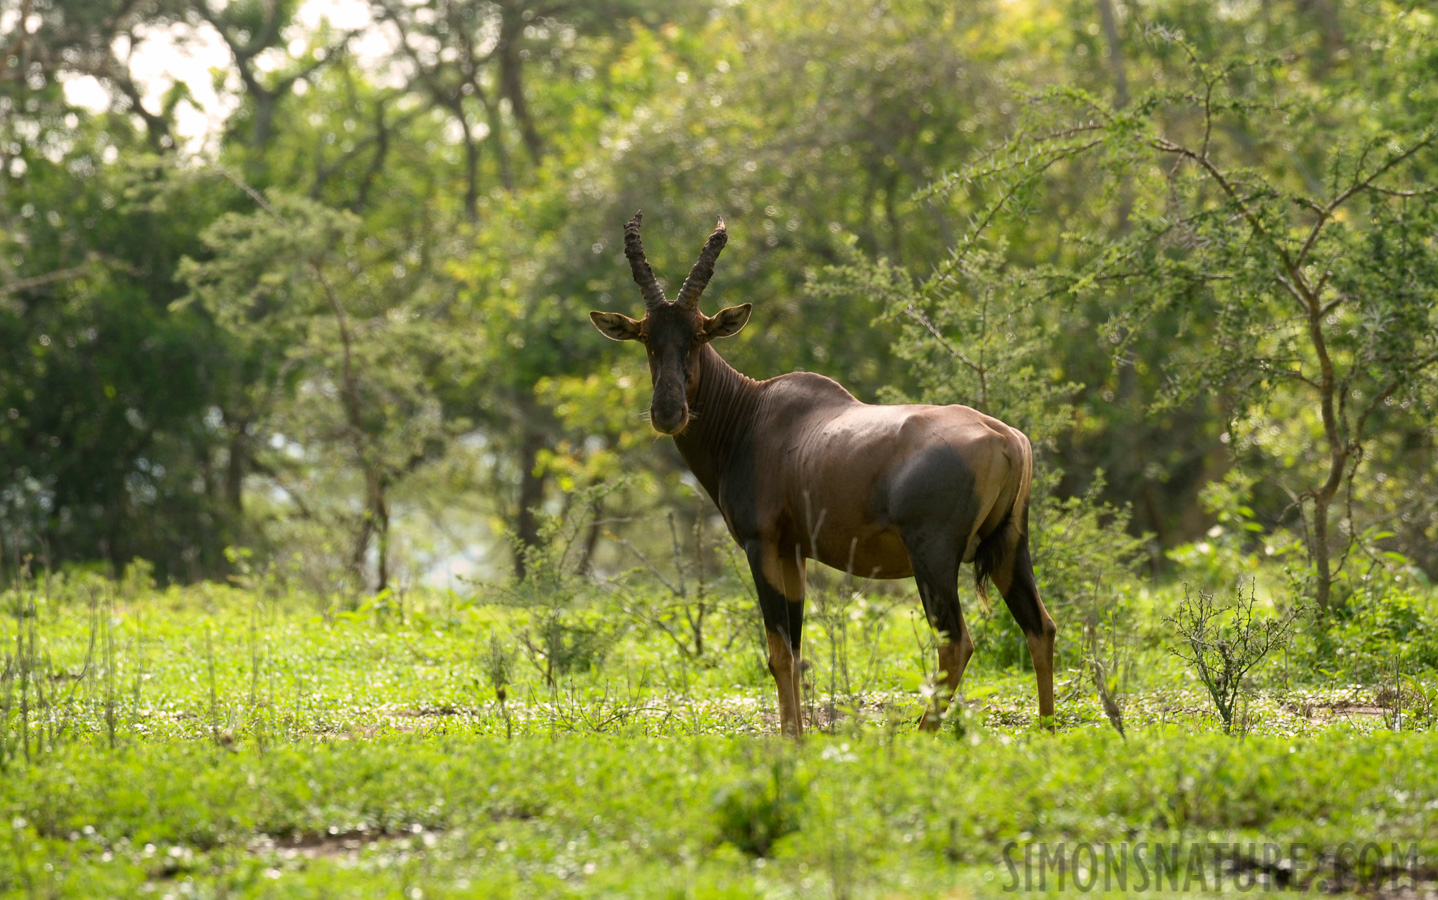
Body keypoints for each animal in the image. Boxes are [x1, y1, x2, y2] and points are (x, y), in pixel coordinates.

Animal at [586, 211, 1058, 736]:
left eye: (699, 334)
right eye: (648, 337)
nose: (668, 412)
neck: (752, 414)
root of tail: (1004, 437)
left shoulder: (762, 545)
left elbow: (777, 653)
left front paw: (792, 738)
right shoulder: (794, 552)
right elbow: (794, 651)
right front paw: (800, 734)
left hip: (933, 556)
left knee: (957, 642)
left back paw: (922, 736)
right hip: (1011, 546)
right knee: (1040, 628)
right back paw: (1047, 730)